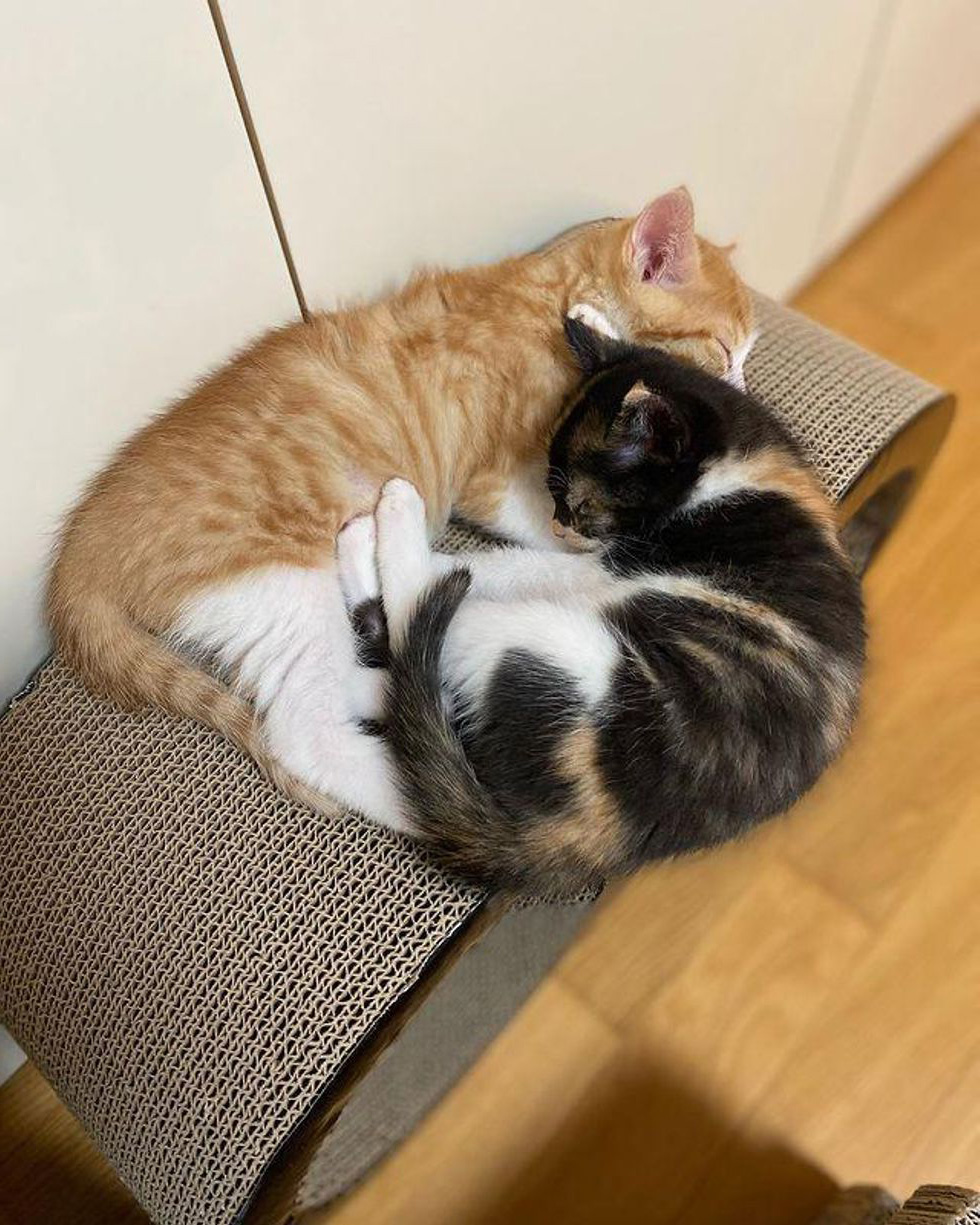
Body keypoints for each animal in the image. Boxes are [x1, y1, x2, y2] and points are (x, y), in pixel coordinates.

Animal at [48, 187, 753, 823]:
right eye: (724, 352)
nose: (739, 397)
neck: (541, 290)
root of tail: (77, 557)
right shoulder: (498, 478)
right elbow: (563, 531)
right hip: (275, 580)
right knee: (303, 728)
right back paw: (427, 796)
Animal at [335, 316, 865, 895]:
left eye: (581, 503)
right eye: (554, 497)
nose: (559, 525)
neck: (738, 465)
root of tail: (596, 843)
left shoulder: (619, 564)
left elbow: (517, 566)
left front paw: (447, 549)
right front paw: (595, 316)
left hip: (545, 648)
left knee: (416, 624)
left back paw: (388, 528)